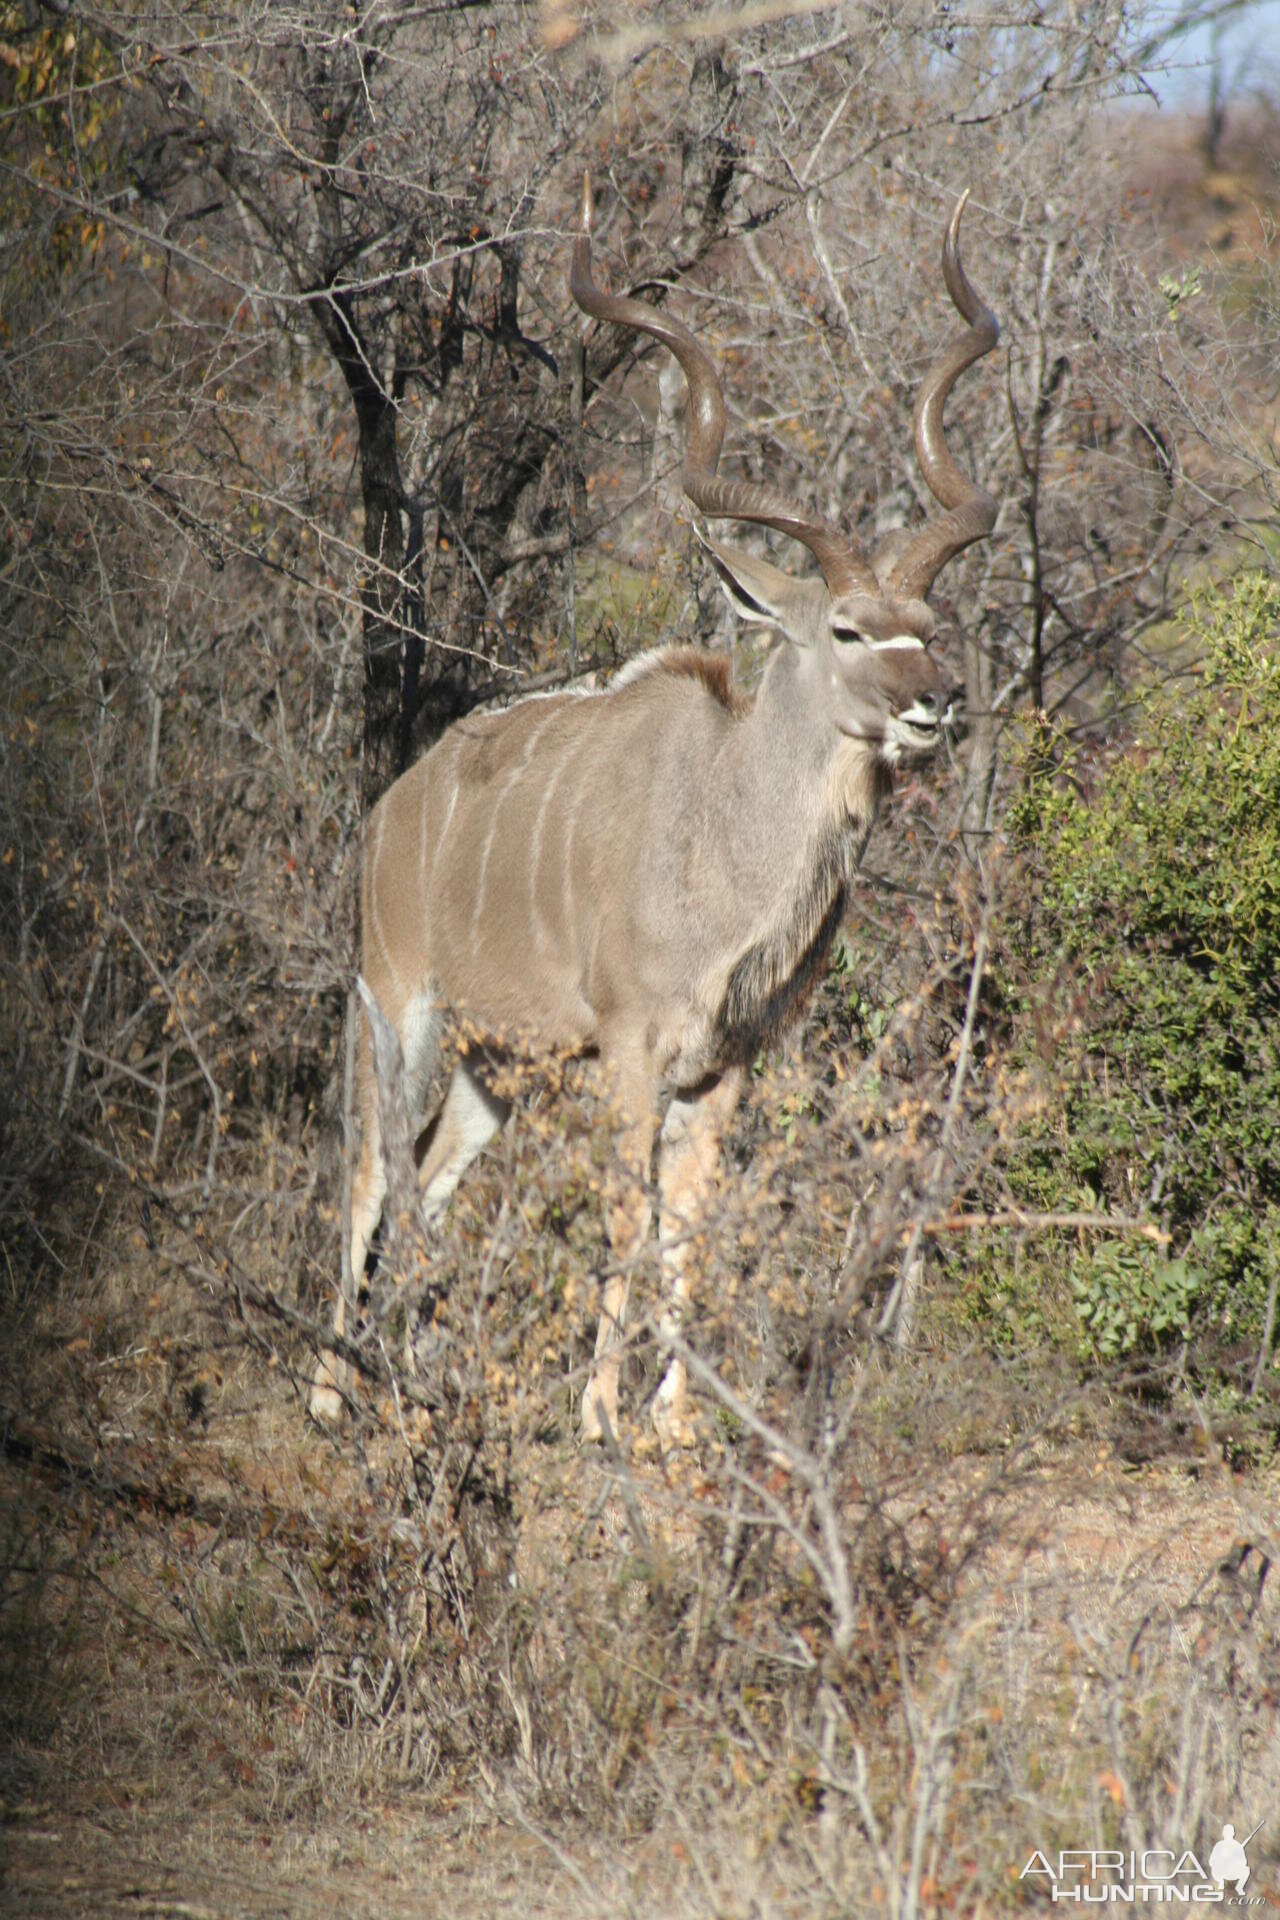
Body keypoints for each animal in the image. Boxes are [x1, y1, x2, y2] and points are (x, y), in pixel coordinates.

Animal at [312, 176, 997, 1443]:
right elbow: (627, 1213)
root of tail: (389, 808)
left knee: (432, 1176)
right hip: (399, 1008)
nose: (934, 702)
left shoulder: (723, 1069)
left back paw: (418, 1376)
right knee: (374, 1173)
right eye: (844, 629)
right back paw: (336, 1395)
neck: (722, 831)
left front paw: (673, 1430)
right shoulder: (628, 1052)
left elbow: (689, 1222)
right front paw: (597, 1422)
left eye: (926, 626)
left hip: (490, 1067)